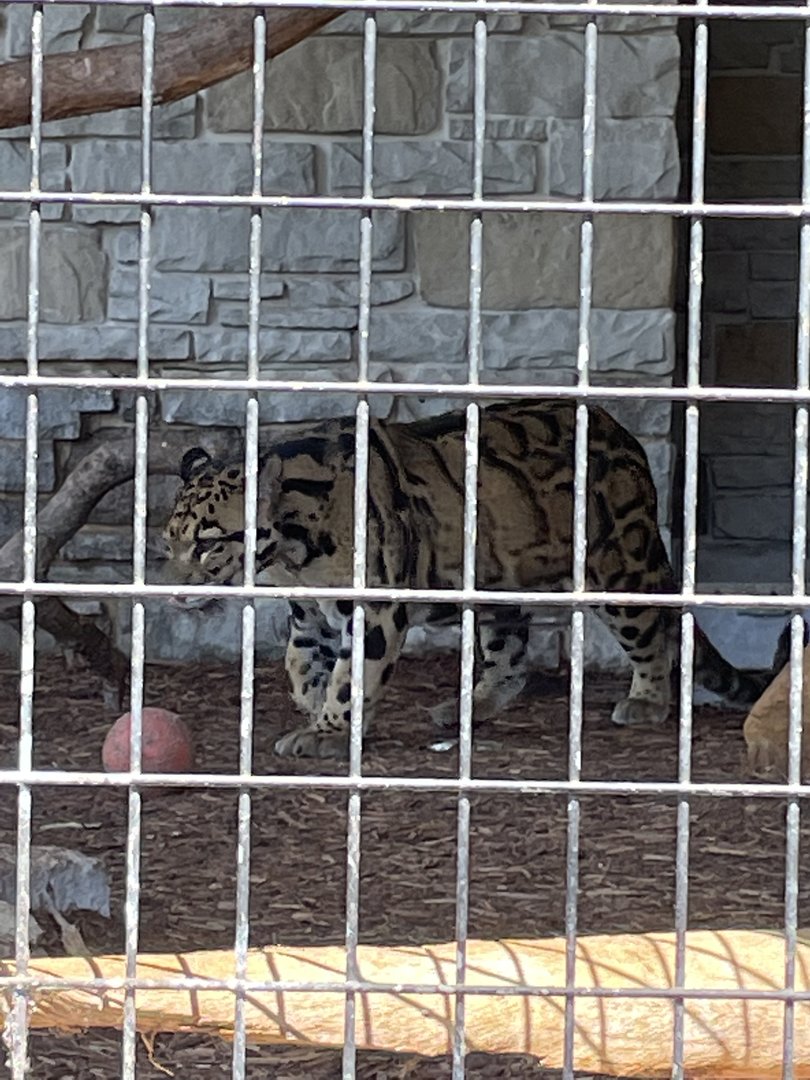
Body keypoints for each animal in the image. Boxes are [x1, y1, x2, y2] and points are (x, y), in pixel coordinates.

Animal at [163, 398, 768, 759]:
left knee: (650, 636)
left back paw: (645, 701)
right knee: (511, 659)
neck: (293, 548)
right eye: (169, 541)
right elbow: (297, 664)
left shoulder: (376, 609)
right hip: (500, 581)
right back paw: (466, 707)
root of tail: (629, 441)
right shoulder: (309, 614)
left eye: (208, 542)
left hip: (619, 564)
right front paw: (316, 707)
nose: (174, 592)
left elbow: (352, 675)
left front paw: (329, 729)